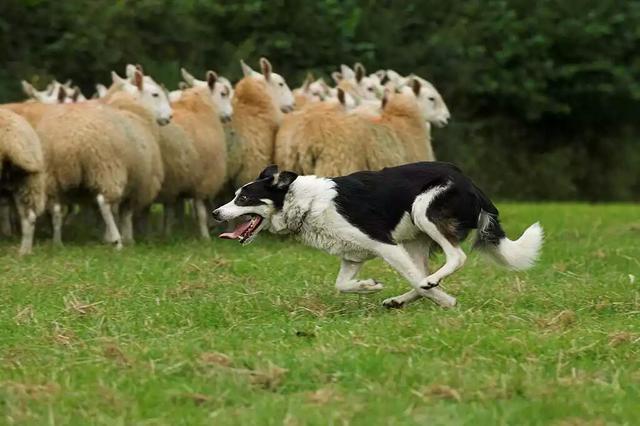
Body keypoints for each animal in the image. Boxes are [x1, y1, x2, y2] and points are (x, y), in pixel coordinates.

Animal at [33, 69, 169, 250]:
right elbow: (125, 212)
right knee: (103, 202)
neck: (133, 108)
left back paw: (57, 242)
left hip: (51, 176)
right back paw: (117, 241)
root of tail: (68, 142)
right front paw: (127, 238)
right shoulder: (138, 181)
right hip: (107, 168)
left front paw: (108, 237)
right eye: (155, 94)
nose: (170, 116)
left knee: (55, 208)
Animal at [212, 161, 544, 308]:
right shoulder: (352, 256)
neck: (305, 203)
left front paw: (447, 301)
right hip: (415, 239)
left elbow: (414, 278)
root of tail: (472, 183)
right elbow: (342, 285)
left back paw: (432, 286)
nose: (216, 213)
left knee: (453, 259)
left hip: (424, 212)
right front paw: (369, 286)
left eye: (243, 199)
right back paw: (400, 300)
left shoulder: (386, 245)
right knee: (422, 273)